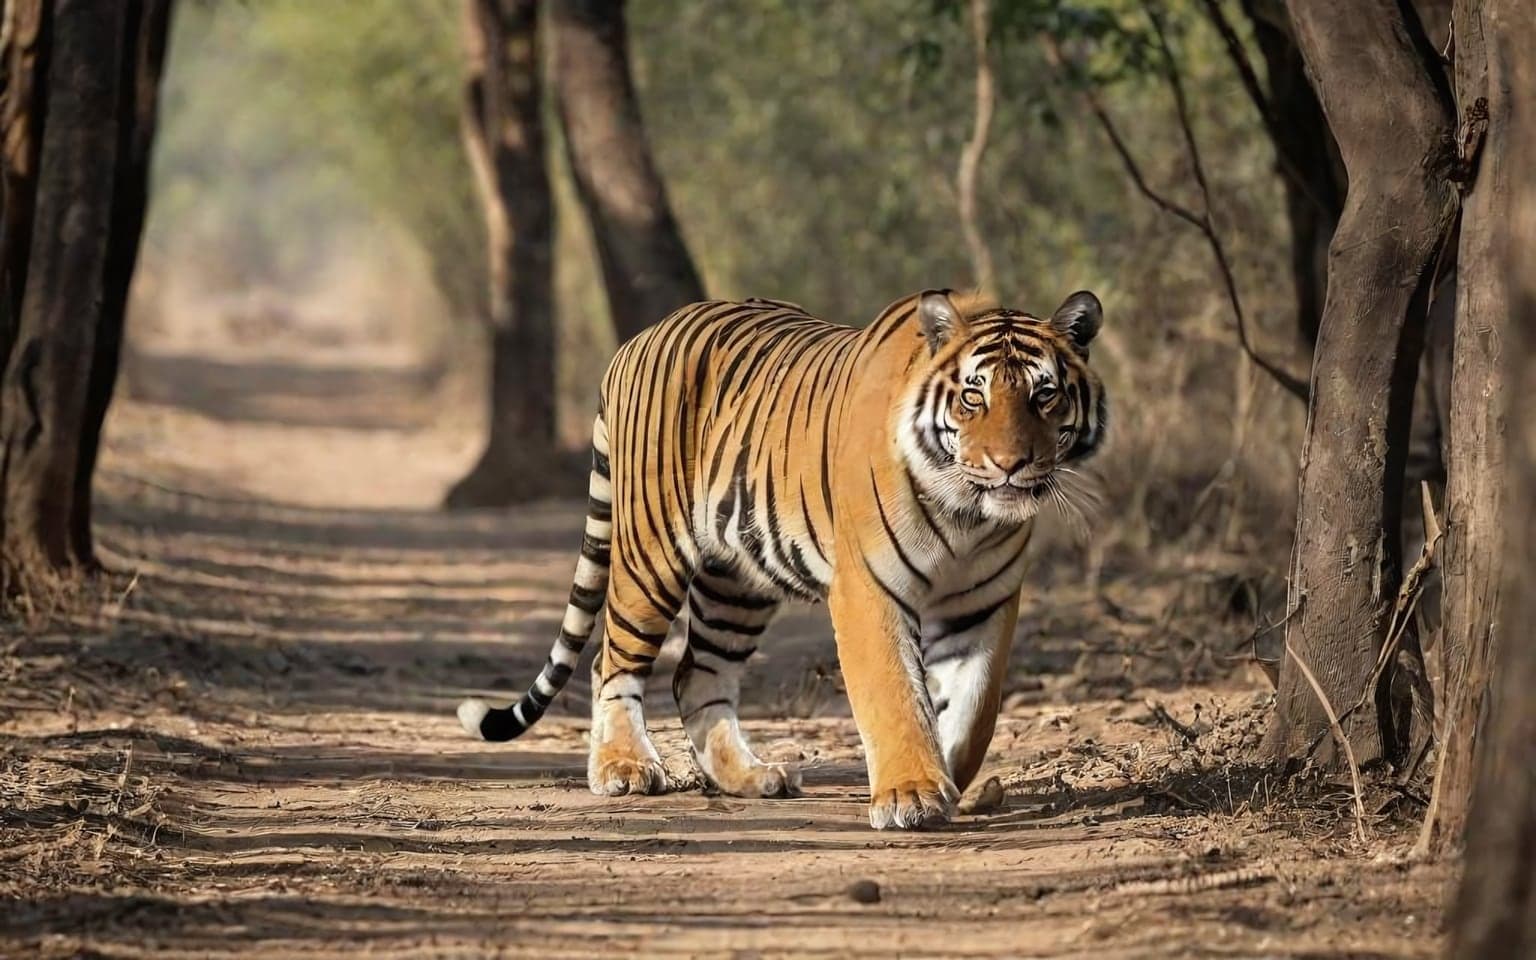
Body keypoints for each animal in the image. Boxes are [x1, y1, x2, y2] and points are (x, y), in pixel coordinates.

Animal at [458, 288, 1107, 829]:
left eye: (1044, 394)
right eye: (974, 396)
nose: (1010, 465)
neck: (968, 516)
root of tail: (638, 341)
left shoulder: (985, 602)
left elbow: (974, 709)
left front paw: (951, 776)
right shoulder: (868, 590)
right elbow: (894, 694)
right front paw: (913, 794)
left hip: (736, 584)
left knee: (698, 674)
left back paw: (750, 776)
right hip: (650, 552)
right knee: (611, 661)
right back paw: (624, 768)